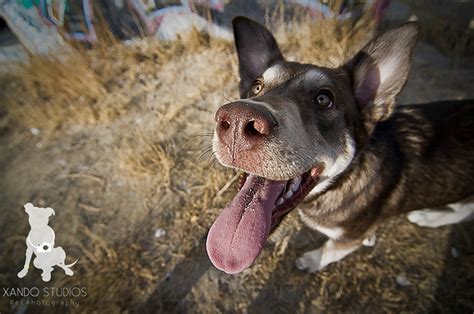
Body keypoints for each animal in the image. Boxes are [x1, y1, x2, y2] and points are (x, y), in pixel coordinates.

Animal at [205, 16, 474, 274]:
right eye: (256, 86)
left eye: (324, 99)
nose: (237, 121)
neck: (341, 182)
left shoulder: (349, 237)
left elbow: (331, 249)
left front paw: (312, 260)